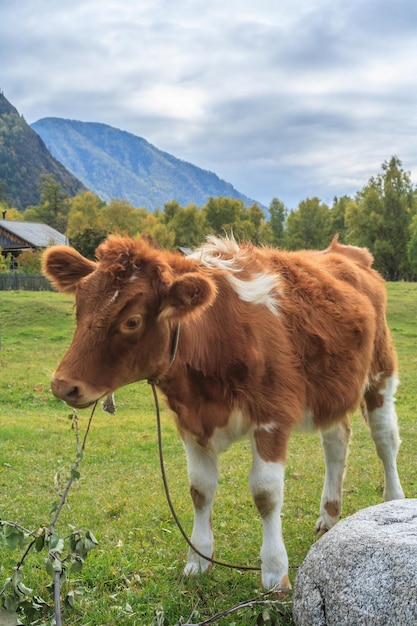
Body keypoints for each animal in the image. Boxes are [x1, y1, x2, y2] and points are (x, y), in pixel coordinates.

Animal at [43, 235, 404, 588]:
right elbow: (200, 490)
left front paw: (275, 571)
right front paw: (198, 559)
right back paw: (329, 514)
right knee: (336, 441)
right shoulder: (189, 422)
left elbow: (266, 493)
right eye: (79, 307)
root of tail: (346, 252)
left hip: (380, 374)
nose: (63, 385)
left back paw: (393, 501)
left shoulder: (272, 416)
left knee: (385, 441)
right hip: (331, 392)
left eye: (132, 320)